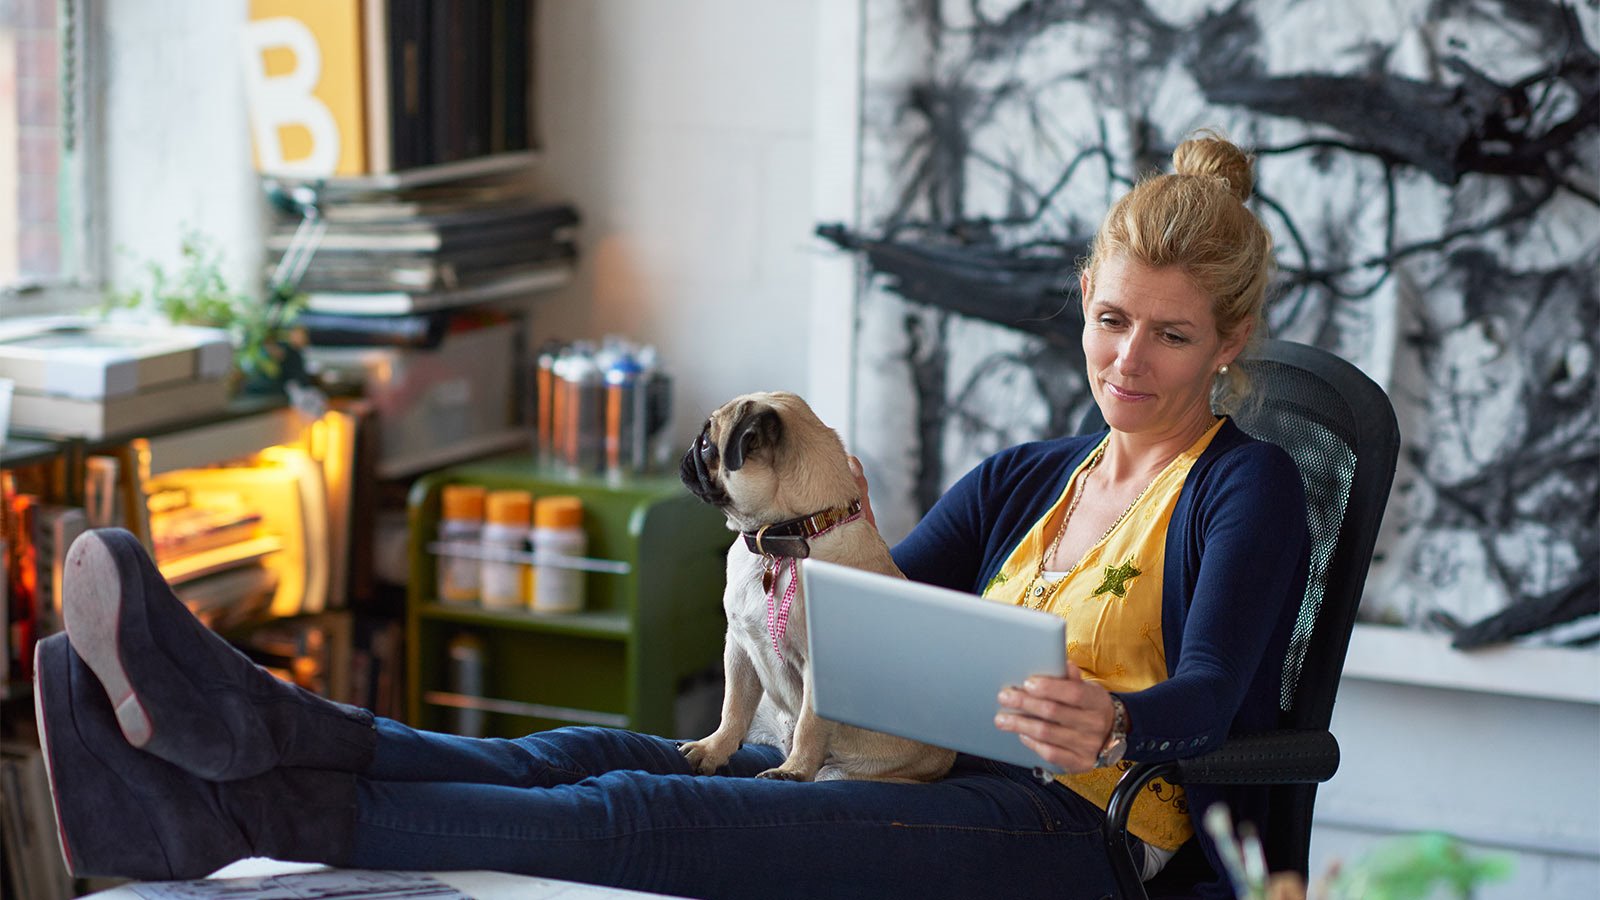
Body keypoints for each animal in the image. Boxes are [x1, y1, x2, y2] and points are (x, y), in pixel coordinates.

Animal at [675, 390, 947, 778]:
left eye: (705, 445)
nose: (686, 454)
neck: (781, 540)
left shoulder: (818, 675)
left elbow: (809, 726)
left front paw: (793, 771)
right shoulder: (739, 648)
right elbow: (733, 707)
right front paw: (714, 748)